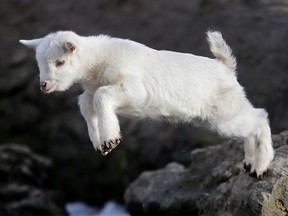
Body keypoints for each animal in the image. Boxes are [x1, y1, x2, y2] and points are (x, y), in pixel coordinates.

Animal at [20, 31, 274, 178]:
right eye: (39, 62)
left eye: (60, 62)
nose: (44, 85)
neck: (96, 64)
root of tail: (226, 67)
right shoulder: (90, 93)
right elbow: (86, 105)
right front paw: (101, 143)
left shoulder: (134, 90)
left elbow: (102, 96)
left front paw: (111, 139)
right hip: (220, 116)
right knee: (250, 127)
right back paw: (250, 163)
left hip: (225, 112)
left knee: (260, 117)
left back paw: (261, 164)